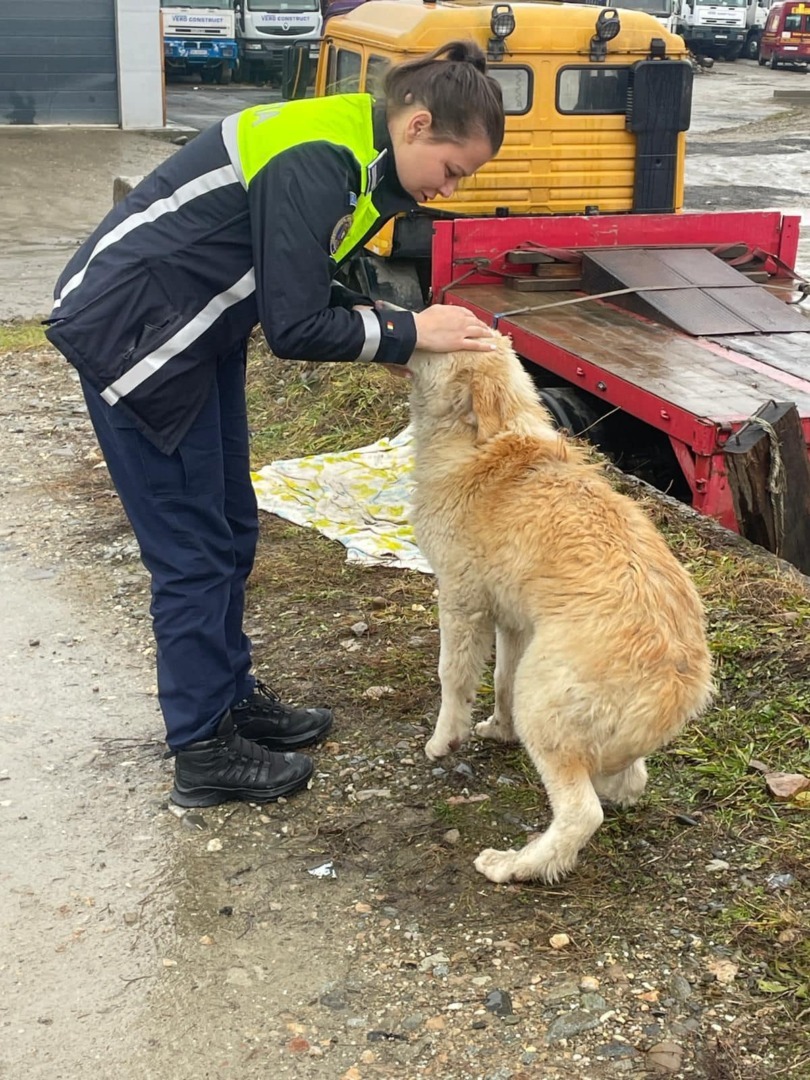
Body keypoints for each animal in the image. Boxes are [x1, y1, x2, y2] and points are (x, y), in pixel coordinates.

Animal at [408, 332, 712, 881]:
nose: (401, 319)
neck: (486, 440)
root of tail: (678, 682)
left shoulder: (463, 600)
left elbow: (453, 677)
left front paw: (444, 741)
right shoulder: (512, 620)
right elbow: (500, 679)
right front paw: (498, 730)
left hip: (546, 707)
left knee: (581, 813)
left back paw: (514, 865)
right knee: (627, 782)